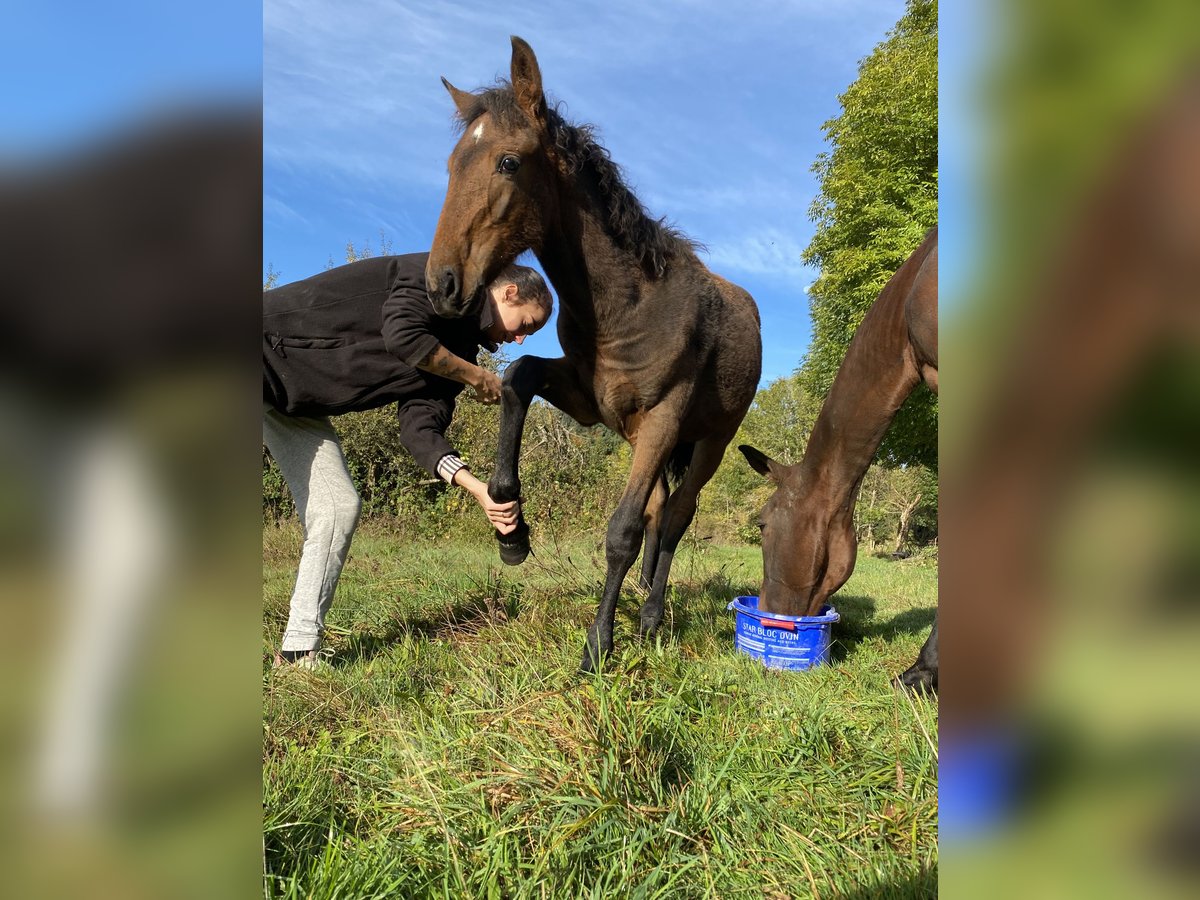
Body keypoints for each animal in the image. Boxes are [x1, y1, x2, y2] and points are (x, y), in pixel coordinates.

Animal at [422, 37, 758, 672]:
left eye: (508, 162)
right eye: (450, 164)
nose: (442, 285)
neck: (630, 306)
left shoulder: (664, 418)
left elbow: (621, 531)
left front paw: (599, 645)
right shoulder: (590, 401)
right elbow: (520, 375)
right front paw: (509, 521)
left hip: (708, 442)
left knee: (676, 517)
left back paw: (650, 616)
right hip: (637, 437)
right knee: (659, 509)